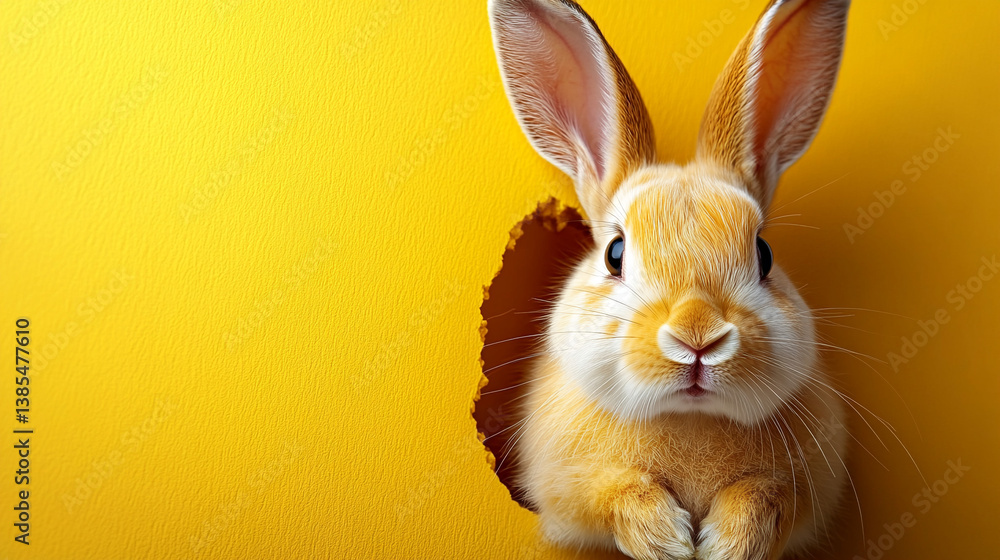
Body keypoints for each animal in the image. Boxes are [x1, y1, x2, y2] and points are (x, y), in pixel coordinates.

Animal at [487, 0, 852, 559]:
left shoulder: (806, 488)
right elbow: (611, 493)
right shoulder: (567, 484)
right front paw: (667, 541)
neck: (688, 416)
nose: (697, 337)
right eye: (615, 254)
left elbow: (767, 496)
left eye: (764, 254)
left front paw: (726, 544)